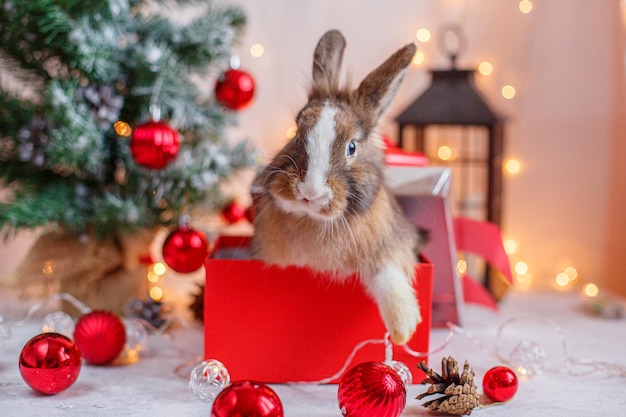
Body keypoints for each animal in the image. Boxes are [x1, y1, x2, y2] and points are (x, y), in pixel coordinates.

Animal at [249, 27, 420, 342]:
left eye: (352, 147)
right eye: (296, 134)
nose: (310, 192)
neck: (314, 221)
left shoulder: (389, 247)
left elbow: (389, 274)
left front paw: (404, 328)